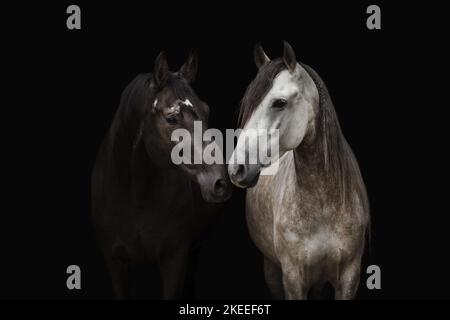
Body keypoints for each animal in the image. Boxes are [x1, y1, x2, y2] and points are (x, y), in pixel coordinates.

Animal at [92, 51, 232, 298]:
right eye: (172, 118)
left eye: (206, 111)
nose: (220, 183)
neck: (135, 196)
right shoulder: (114, 261)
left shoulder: (175, 260)